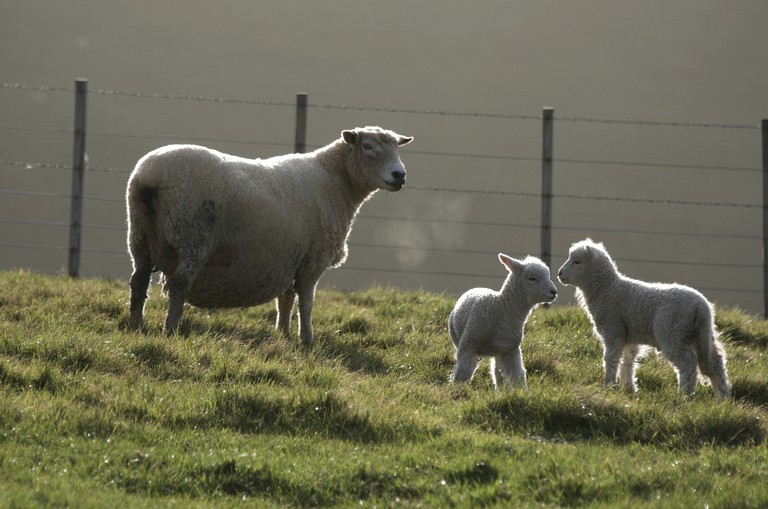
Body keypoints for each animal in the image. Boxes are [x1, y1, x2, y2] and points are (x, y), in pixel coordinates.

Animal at [126, 126, 414, 346]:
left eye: (397, 149)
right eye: (368, 146)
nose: (399, 175)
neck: (336, 181)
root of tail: (149, 178)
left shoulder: (288, 256)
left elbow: (286, 300)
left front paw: (283, 334)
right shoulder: (313, 258)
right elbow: (306, 301)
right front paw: (307, 339)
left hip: (139, 234)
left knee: (138, 280)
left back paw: (135, 325)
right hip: (192, 236)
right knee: (179, 284)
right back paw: (170, 329)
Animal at [444, 253, 560, 388]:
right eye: (532, 278)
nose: (554, 292)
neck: (501, 309)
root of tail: (477, 287)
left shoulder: (511, 351)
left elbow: (517, 374)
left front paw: (521, 391)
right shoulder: (467, 347)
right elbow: (463, 372)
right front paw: (458, 389)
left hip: (499, 351)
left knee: (497, 371)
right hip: (458, 338)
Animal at [560, 236, 732, 398]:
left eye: (577, 261)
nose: (559, 274)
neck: (606, 289)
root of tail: (701, 305)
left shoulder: (612, 329)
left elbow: (610, 359)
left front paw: (609, 386)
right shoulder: (629, 337)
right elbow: (628, 362)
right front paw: (628, 389)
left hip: (673, 332)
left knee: (688, 363)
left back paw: (684, 395)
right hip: (701, 334)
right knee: (716, 364)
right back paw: (721, 399)